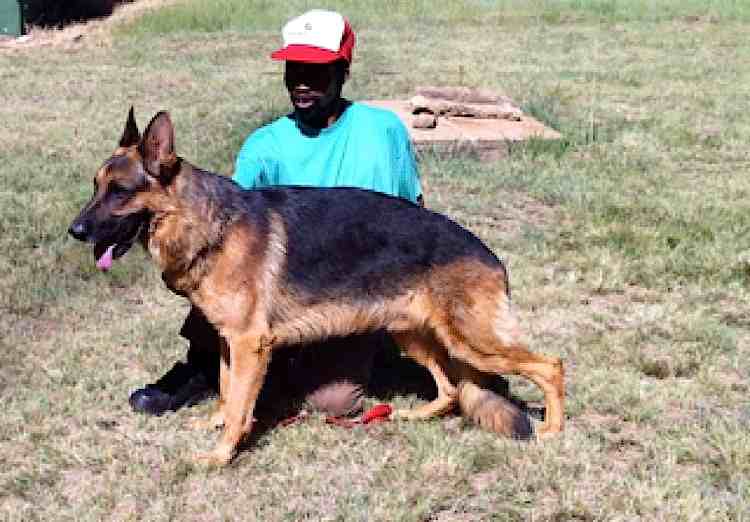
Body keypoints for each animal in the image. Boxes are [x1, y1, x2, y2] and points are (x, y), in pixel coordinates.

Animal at [69, 109, 564, 466]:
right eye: (95, 187)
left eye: (119, 191)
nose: (74, 231)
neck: (206, 222)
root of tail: (489, 255)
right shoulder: (231, 343)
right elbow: (228, 393)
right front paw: (215, 424)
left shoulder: (250, 345)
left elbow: (240, 405)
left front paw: (220, 455)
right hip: (415, 335)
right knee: (449, 390)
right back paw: (413, 415)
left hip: (472, 341)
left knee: (550, 365)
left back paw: (553, 430)